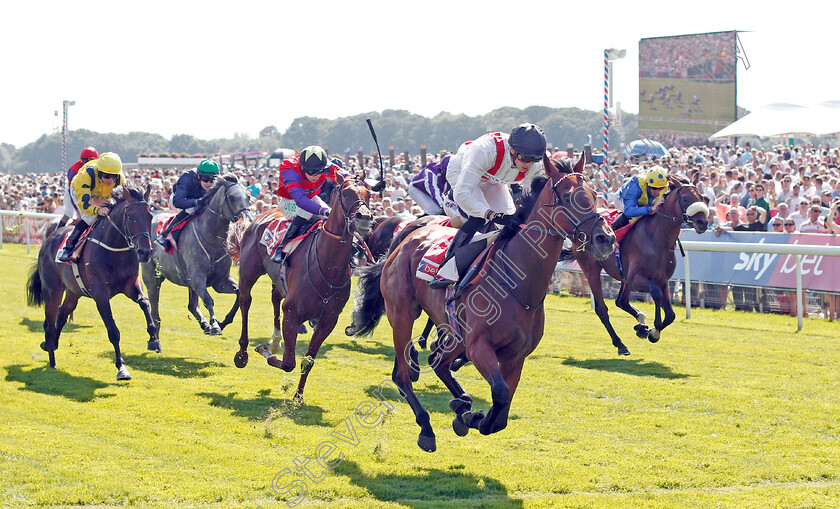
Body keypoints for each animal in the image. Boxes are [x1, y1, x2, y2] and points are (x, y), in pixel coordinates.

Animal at [25, 185, 158, 380]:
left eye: (150, 216)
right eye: (130, 216)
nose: (145, 252)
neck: (115, 250)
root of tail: (49, 238)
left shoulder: (131, 285)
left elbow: (144, 302)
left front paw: (154, 338)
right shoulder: (100, 295)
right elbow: (113, 331)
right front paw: (122, 368)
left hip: (73, 292)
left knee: (62, 313)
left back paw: (51, 344)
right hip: (52, 290)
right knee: (49, 321)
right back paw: (52, 359)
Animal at [142, 175, 253, 338]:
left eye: (248, 197)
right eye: (232, 197)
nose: (247, 220)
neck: (211, 239)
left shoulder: (220, 280)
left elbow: (239, 293)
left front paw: (222, 322)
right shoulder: (197, 277)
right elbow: (208, 300)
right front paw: (215, 325)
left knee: (192, 305)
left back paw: (204, 324)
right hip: (152, 275)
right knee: (154, 301)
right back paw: (156, 327)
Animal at [231, 173, 372, 398]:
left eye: (369, 193)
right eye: (345, 193)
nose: (364, 217)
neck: (327, 266)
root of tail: (263, 214)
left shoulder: (328, 320)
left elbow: (308, 360)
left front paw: (298, 395)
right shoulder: (293, 314)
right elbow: (289, 363)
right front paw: (265, 350)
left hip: (278, 281)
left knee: (275, 298)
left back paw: (275, 340)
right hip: (248, 273)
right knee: (245, 302)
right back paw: (243, 353)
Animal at [344, 157, 612, 450]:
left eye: (594, 194)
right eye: (566, 197)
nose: (606, 238)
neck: (518, 283)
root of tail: (405, 236)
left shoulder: (515, 356)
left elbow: (501, 414)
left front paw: (467, 414)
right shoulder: (479, 347)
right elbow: (500, 393)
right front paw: (470, 416)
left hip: (454, 331)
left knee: (438, 361)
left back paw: (460, 401)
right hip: (403, 313)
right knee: (403, 374)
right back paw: (426, 426)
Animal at [564, 175, 708, 354]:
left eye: (702, 197)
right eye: (685, 198)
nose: (703, 222)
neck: (656, 239)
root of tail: (577, 230)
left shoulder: (662, 280)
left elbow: (671, 315)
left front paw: (648, 330)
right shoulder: (637, 279)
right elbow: (656, 294)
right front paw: (653, 330)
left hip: (624, 276)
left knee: (621, 301)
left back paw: (641, 322)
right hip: (592, 270)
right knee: (602, 309)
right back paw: (621, 344)